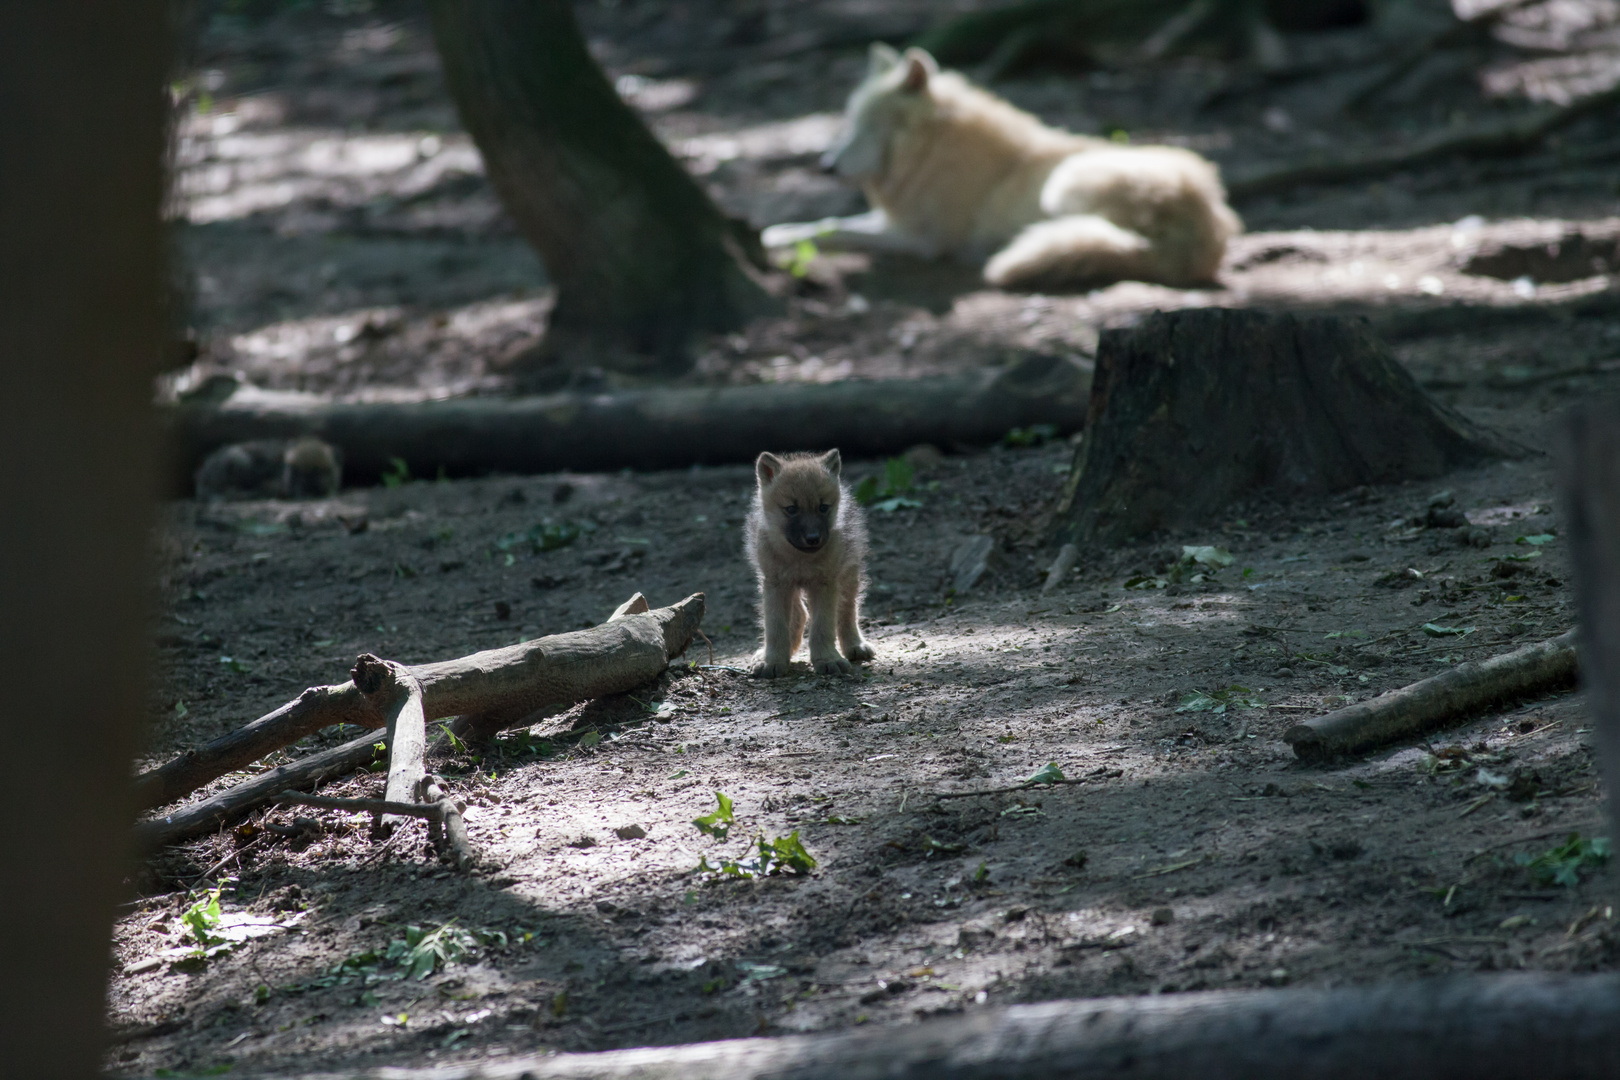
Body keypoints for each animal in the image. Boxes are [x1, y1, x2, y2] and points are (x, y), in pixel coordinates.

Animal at [764, 45, 1244, 291]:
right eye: (848, 123)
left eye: (862, 126)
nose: (826, 167)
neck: (930, 149)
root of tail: (1211, 226)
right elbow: (826, 222)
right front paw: (777, 232)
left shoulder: (918, 240)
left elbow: (831, 228)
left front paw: (775, 238)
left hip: (1064, 184)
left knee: (1110, 240)